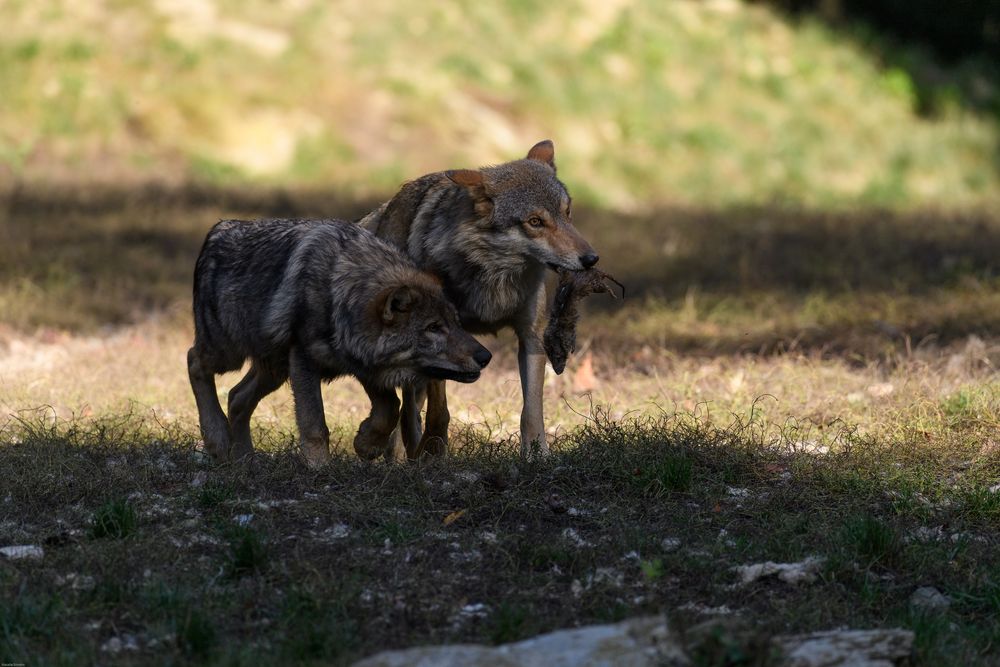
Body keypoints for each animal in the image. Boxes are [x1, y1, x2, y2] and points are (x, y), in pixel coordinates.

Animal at [187, 218, 492, 464]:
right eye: (433, 328)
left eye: (456, 323)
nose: (486, 357)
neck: (341, 291)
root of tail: (217, 229)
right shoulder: (305, 361)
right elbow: (315, 425)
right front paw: (320, 468)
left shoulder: (364, 366)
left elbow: (389, 409)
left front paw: (366, 444)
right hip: (229, 354)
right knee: (194, 361)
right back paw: (217, 439)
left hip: (274, 370)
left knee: (236, 397)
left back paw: (245, 461)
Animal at [358, 138, 596, 456]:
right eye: (535, 222)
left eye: (567, 213)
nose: (591, 259)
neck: (495, 276)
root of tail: (386, 209)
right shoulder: (444, 339)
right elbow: (439, 411)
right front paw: (433, 450)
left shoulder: (531, 338)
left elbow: (532, 412)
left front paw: (537, 455)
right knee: (404, 414)